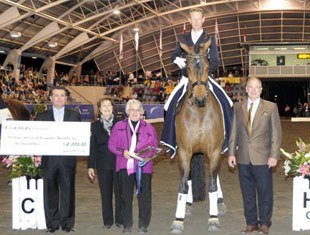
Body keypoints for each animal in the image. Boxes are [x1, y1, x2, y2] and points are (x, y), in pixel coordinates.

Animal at [171, 39, 226, 232]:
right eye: (187, 67)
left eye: (208, 66)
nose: (200, 99)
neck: (200, 114)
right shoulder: (184, 152)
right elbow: (182, 184)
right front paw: (178, 220)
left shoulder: (215, 151)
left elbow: (212, 183)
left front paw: (213, 218)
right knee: (188, 177)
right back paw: (187, 205)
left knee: (215, 177)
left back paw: (220, 202)